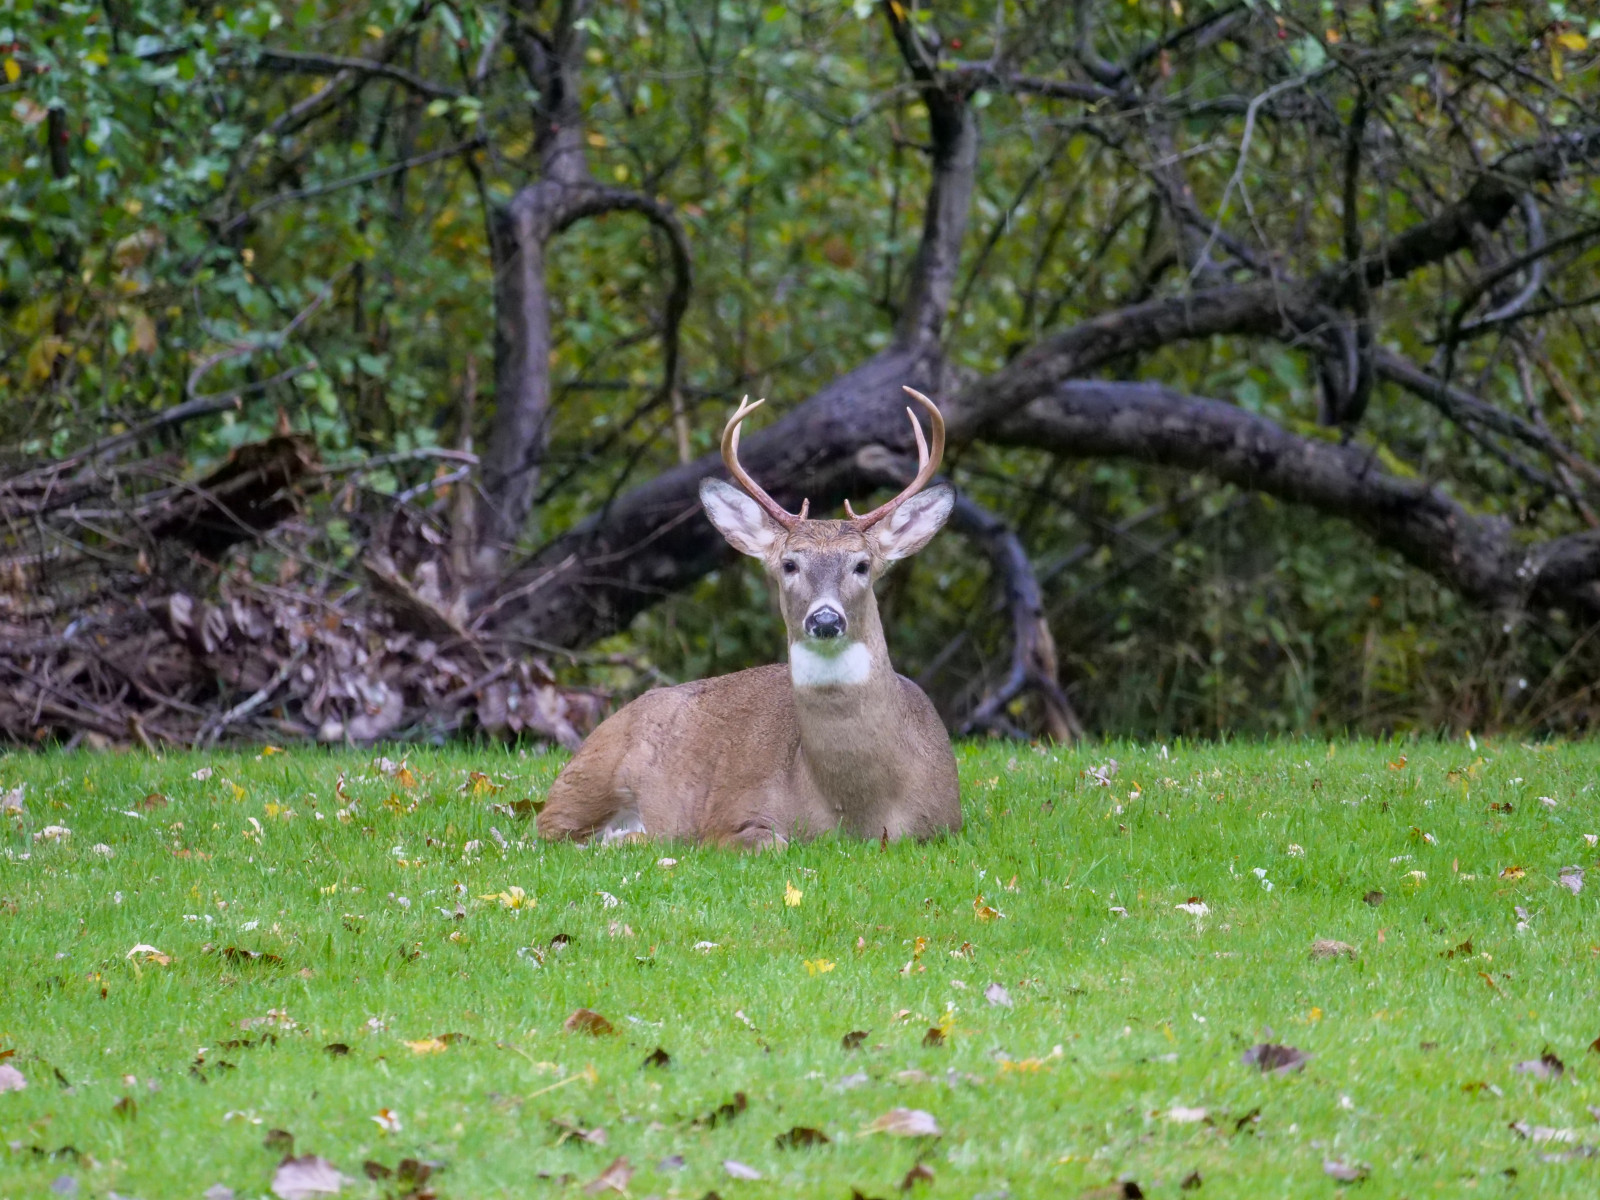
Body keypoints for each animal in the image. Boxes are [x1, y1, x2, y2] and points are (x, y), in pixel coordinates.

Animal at [536, 386, 961, 848]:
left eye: (862, 565)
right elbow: (768, 841)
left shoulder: (947, 823)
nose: (825, 620)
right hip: (588, 778)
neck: (860, 812)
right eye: (789, 564)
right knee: (553, 828)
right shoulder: (729, 817)